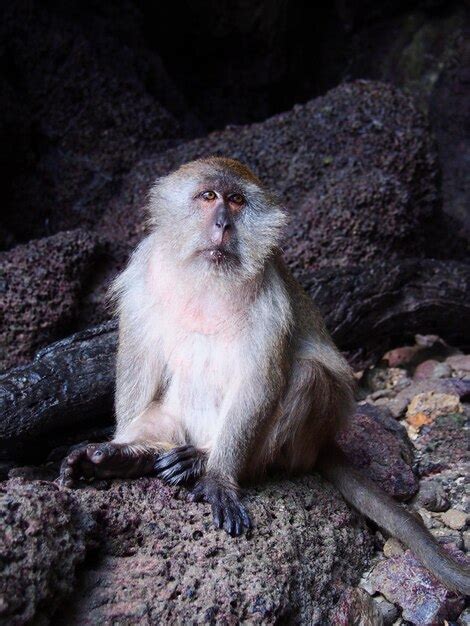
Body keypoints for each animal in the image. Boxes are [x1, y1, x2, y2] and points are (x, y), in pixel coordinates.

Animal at [59, 157, 470, 596]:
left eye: (237, 200)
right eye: (209, 196)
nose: (223, 224)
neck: (207, 275)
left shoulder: (269, 292)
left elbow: (259, 380)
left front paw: (220, 477)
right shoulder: (144, 270)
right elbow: (138, 359)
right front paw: (121, 449)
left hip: (302, 441)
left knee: (307, 376)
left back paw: (205, 460)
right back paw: (141, 457)